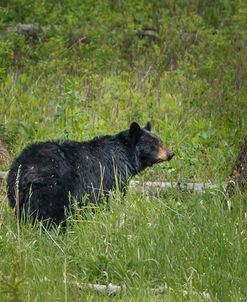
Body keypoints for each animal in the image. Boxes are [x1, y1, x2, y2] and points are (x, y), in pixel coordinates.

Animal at [7, 122, 174, 224]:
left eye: (161, 141)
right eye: (154, 145)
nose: (171, 153)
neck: (126, 154)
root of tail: (26, 168)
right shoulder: (112, 175)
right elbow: (113, 197)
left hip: (15, 191)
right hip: (51, 188)